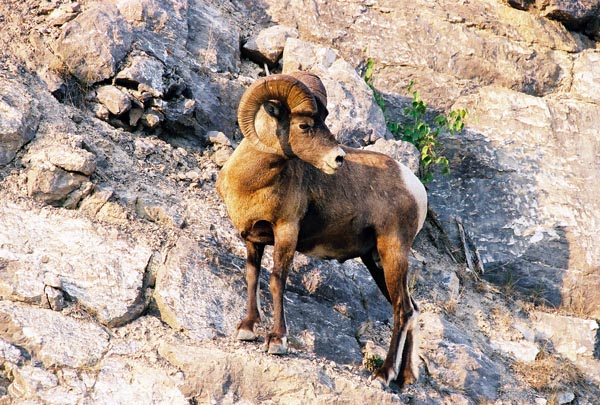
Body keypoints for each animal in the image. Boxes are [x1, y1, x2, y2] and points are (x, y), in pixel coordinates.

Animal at [216, 72, 426, 386]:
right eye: (304, 125)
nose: (338, 159)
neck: (252, 182)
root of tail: (416, 188)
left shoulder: (286, 233)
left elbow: (277, 280)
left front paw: (277, 341)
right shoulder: (253, 238)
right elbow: (252, 276)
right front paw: (248, 329)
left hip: (393, 253)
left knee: (402, 309)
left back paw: (383, 375)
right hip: (375, 260)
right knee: (411, 310)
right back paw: (406, 377)